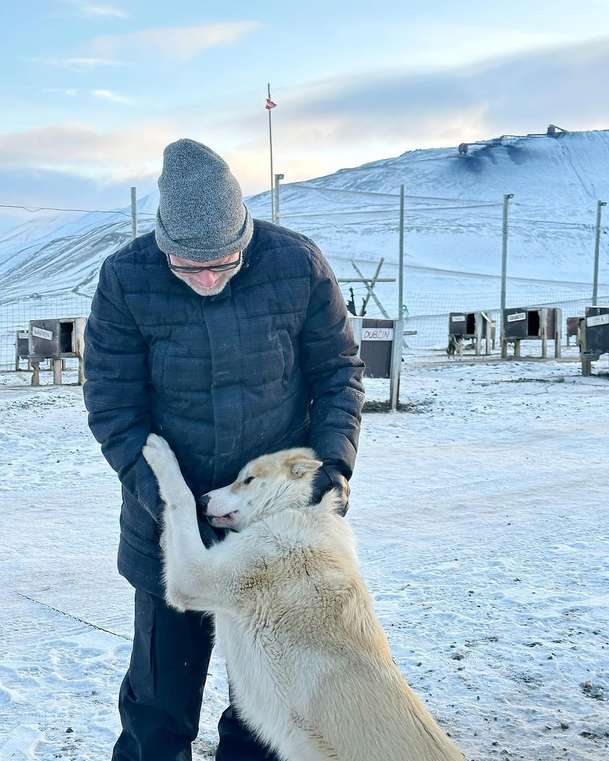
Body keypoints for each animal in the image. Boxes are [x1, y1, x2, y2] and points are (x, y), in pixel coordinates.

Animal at [142, 434, 466, 760]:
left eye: (247, 480)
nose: (205, 500)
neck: (287, 510)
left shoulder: (192, 576)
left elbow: (180, 497)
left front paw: (160, 453)